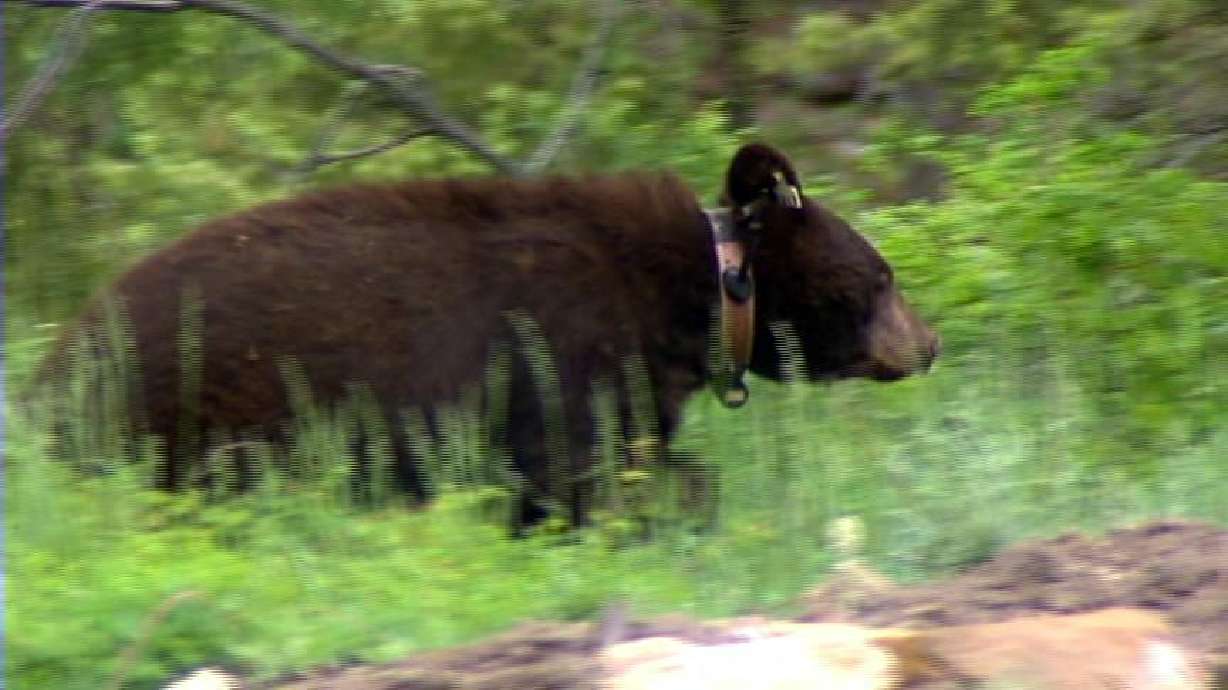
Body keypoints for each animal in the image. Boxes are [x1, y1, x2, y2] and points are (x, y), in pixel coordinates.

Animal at [41, 143, 939, 526]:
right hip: (208, 417)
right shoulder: (564, 351)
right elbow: (576, 468)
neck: (703, 291)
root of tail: (55, 365)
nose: (928, 343)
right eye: (885, 275)